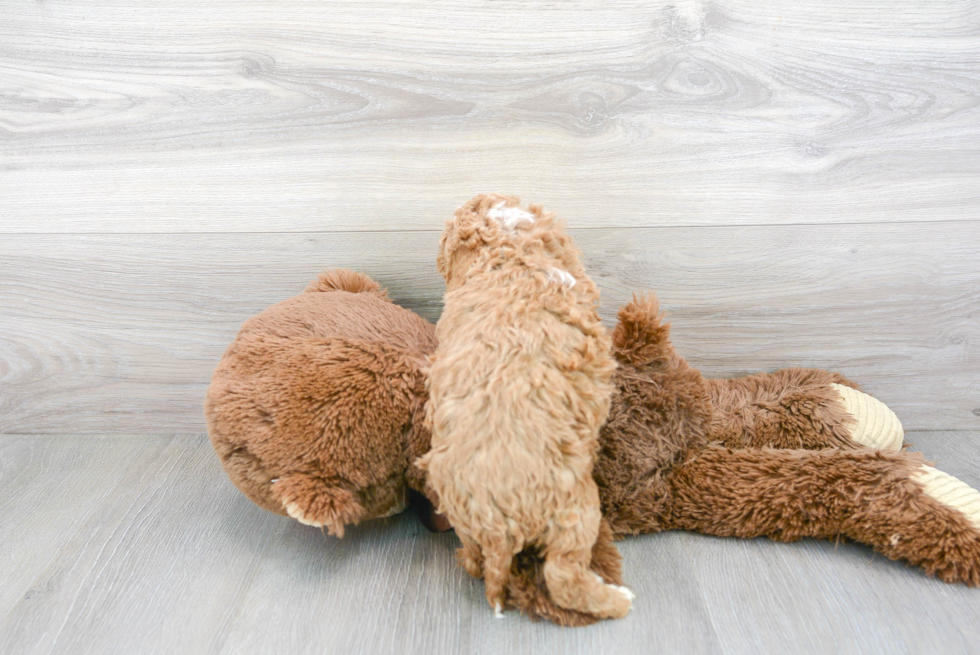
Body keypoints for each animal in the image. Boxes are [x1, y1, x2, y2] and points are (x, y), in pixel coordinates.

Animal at [416, 193, 632, 620]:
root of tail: (497, 527)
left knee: (476, 562)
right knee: (564, 577)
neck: (507, 251)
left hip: (462, 516)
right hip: (577, 511)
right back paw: (616, 598)